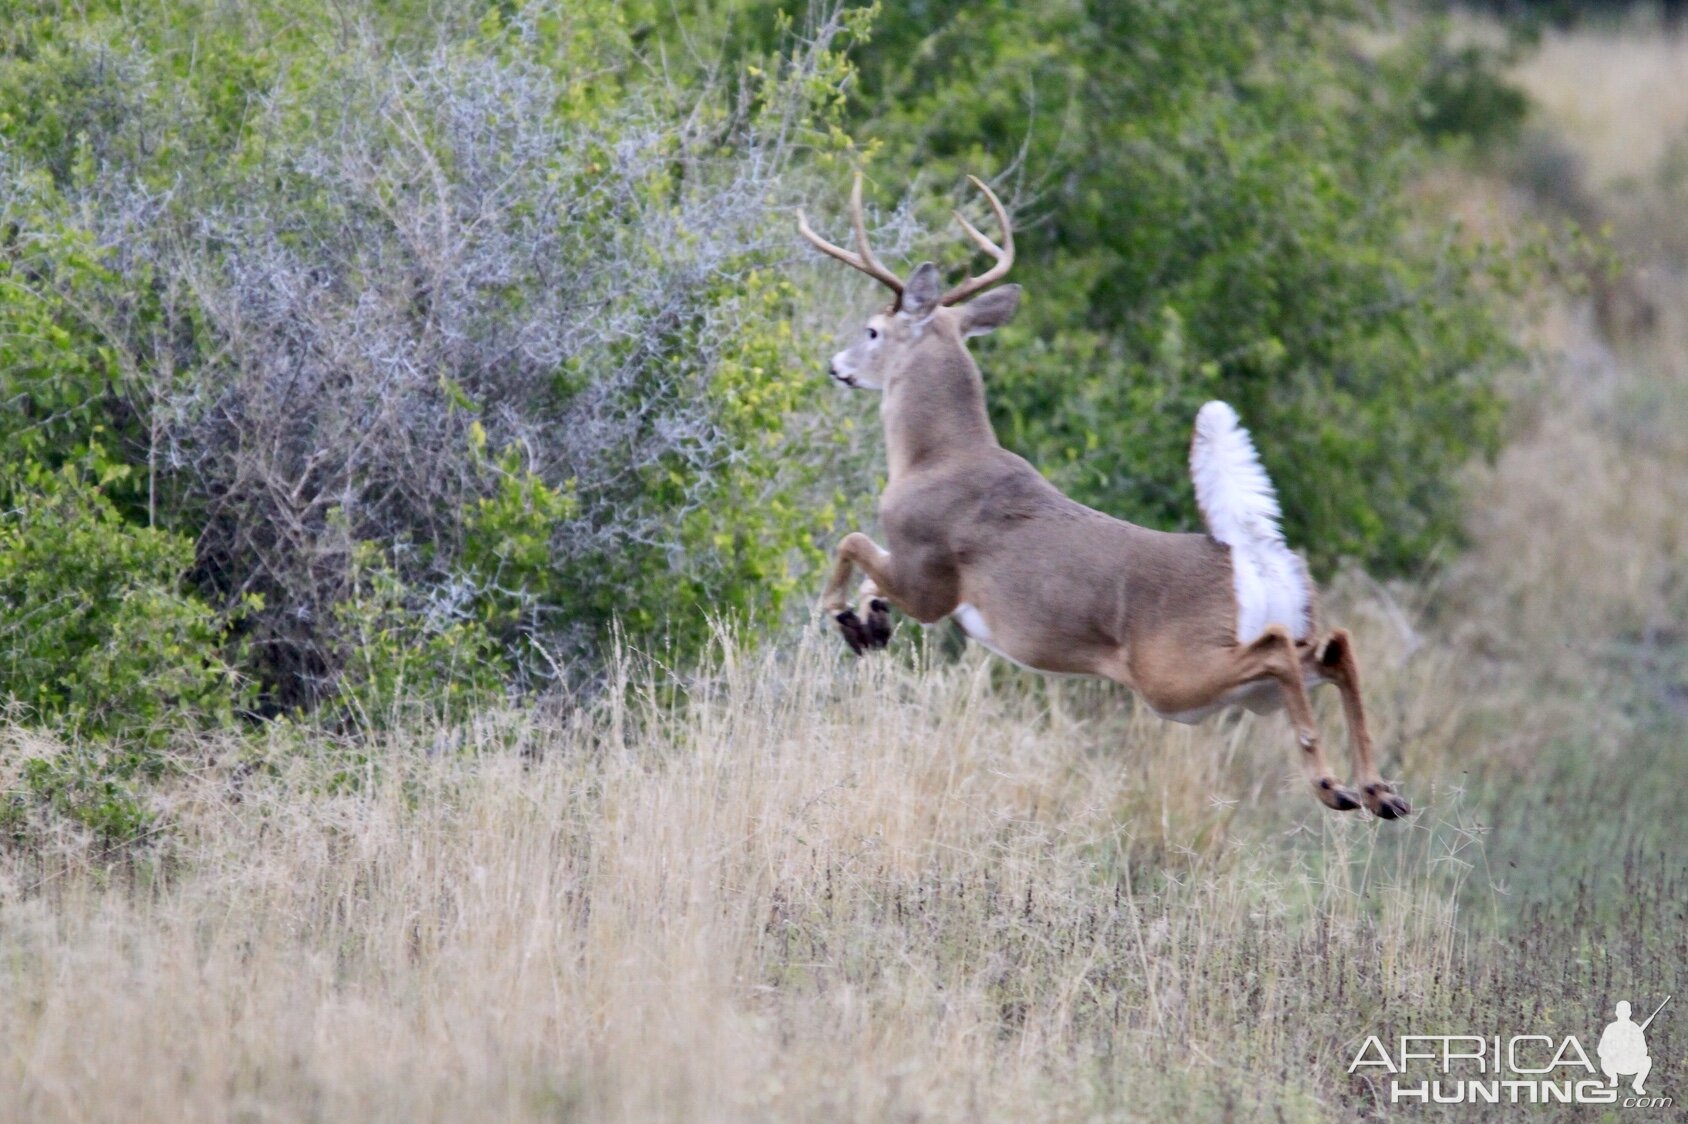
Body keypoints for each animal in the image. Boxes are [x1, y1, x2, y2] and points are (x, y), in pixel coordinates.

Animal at [796, 170, 1404, 813]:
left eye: (872, 330)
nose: (836, 364)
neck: (933, 458)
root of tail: (1253, 558)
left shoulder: (930, 578)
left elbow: (852, 539)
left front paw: (845, 616)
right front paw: (871, 622)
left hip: (1173, 675)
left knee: (1281, 651)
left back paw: (1331, 783)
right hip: (1247, 674)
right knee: (1335, 648)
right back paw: (1377, 790)